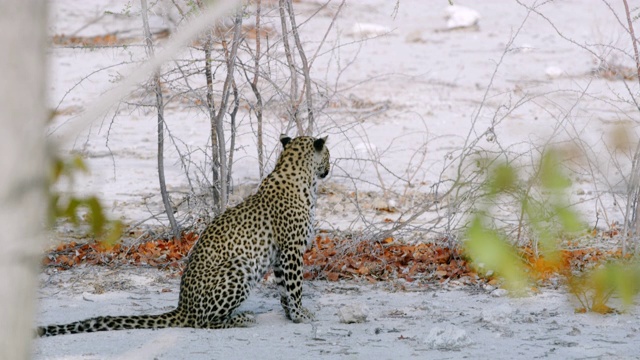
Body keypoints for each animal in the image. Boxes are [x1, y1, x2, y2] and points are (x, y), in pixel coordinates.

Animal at [38, 135, 330, 338]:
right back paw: (242, 318)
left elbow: (284, 289)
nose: (330, 167)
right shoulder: (291, 250)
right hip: (240, 267)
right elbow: (295, 287)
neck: (301, 179)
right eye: (328, 154)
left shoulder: (281, 255)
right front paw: (302, 315)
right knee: (202, 322)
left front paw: (292, 315)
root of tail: (183, 307)